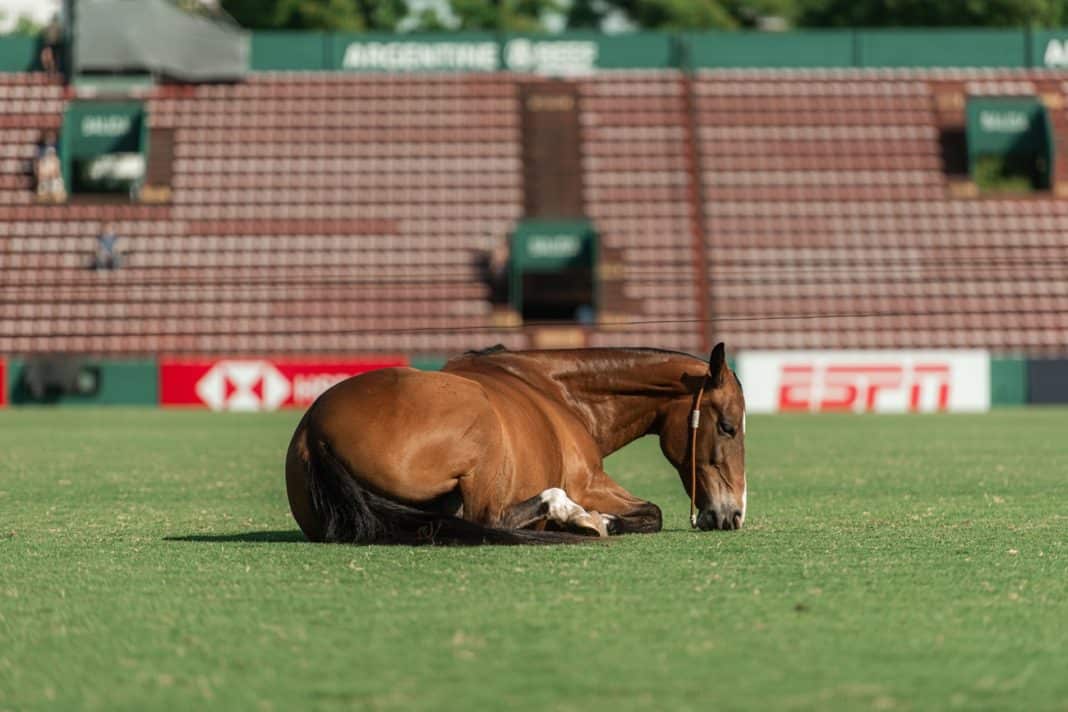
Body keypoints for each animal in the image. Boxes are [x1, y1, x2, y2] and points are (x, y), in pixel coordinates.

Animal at [288, 345, 747, 546]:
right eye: (727, 427)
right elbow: (652, 512)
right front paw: (600, 520)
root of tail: (316, 427)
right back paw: (575, 518)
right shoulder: (590, 481)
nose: (734, 514)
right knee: (490, 518)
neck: (558, 391)